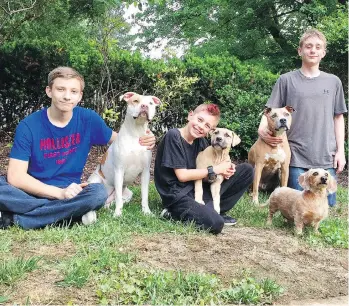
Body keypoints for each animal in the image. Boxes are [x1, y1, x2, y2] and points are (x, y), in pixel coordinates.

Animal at [83, 91, 161, 222]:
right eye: (135, 101)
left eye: (150, 103)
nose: (144, 106)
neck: (136, 132)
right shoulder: (119, 170)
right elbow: (119, 198)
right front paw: (118, 214)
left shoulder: (145, 172)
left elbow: (144, 195)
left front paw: (147, 212)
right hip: (95, 181)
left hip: (129, 193)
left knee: (110, 203)